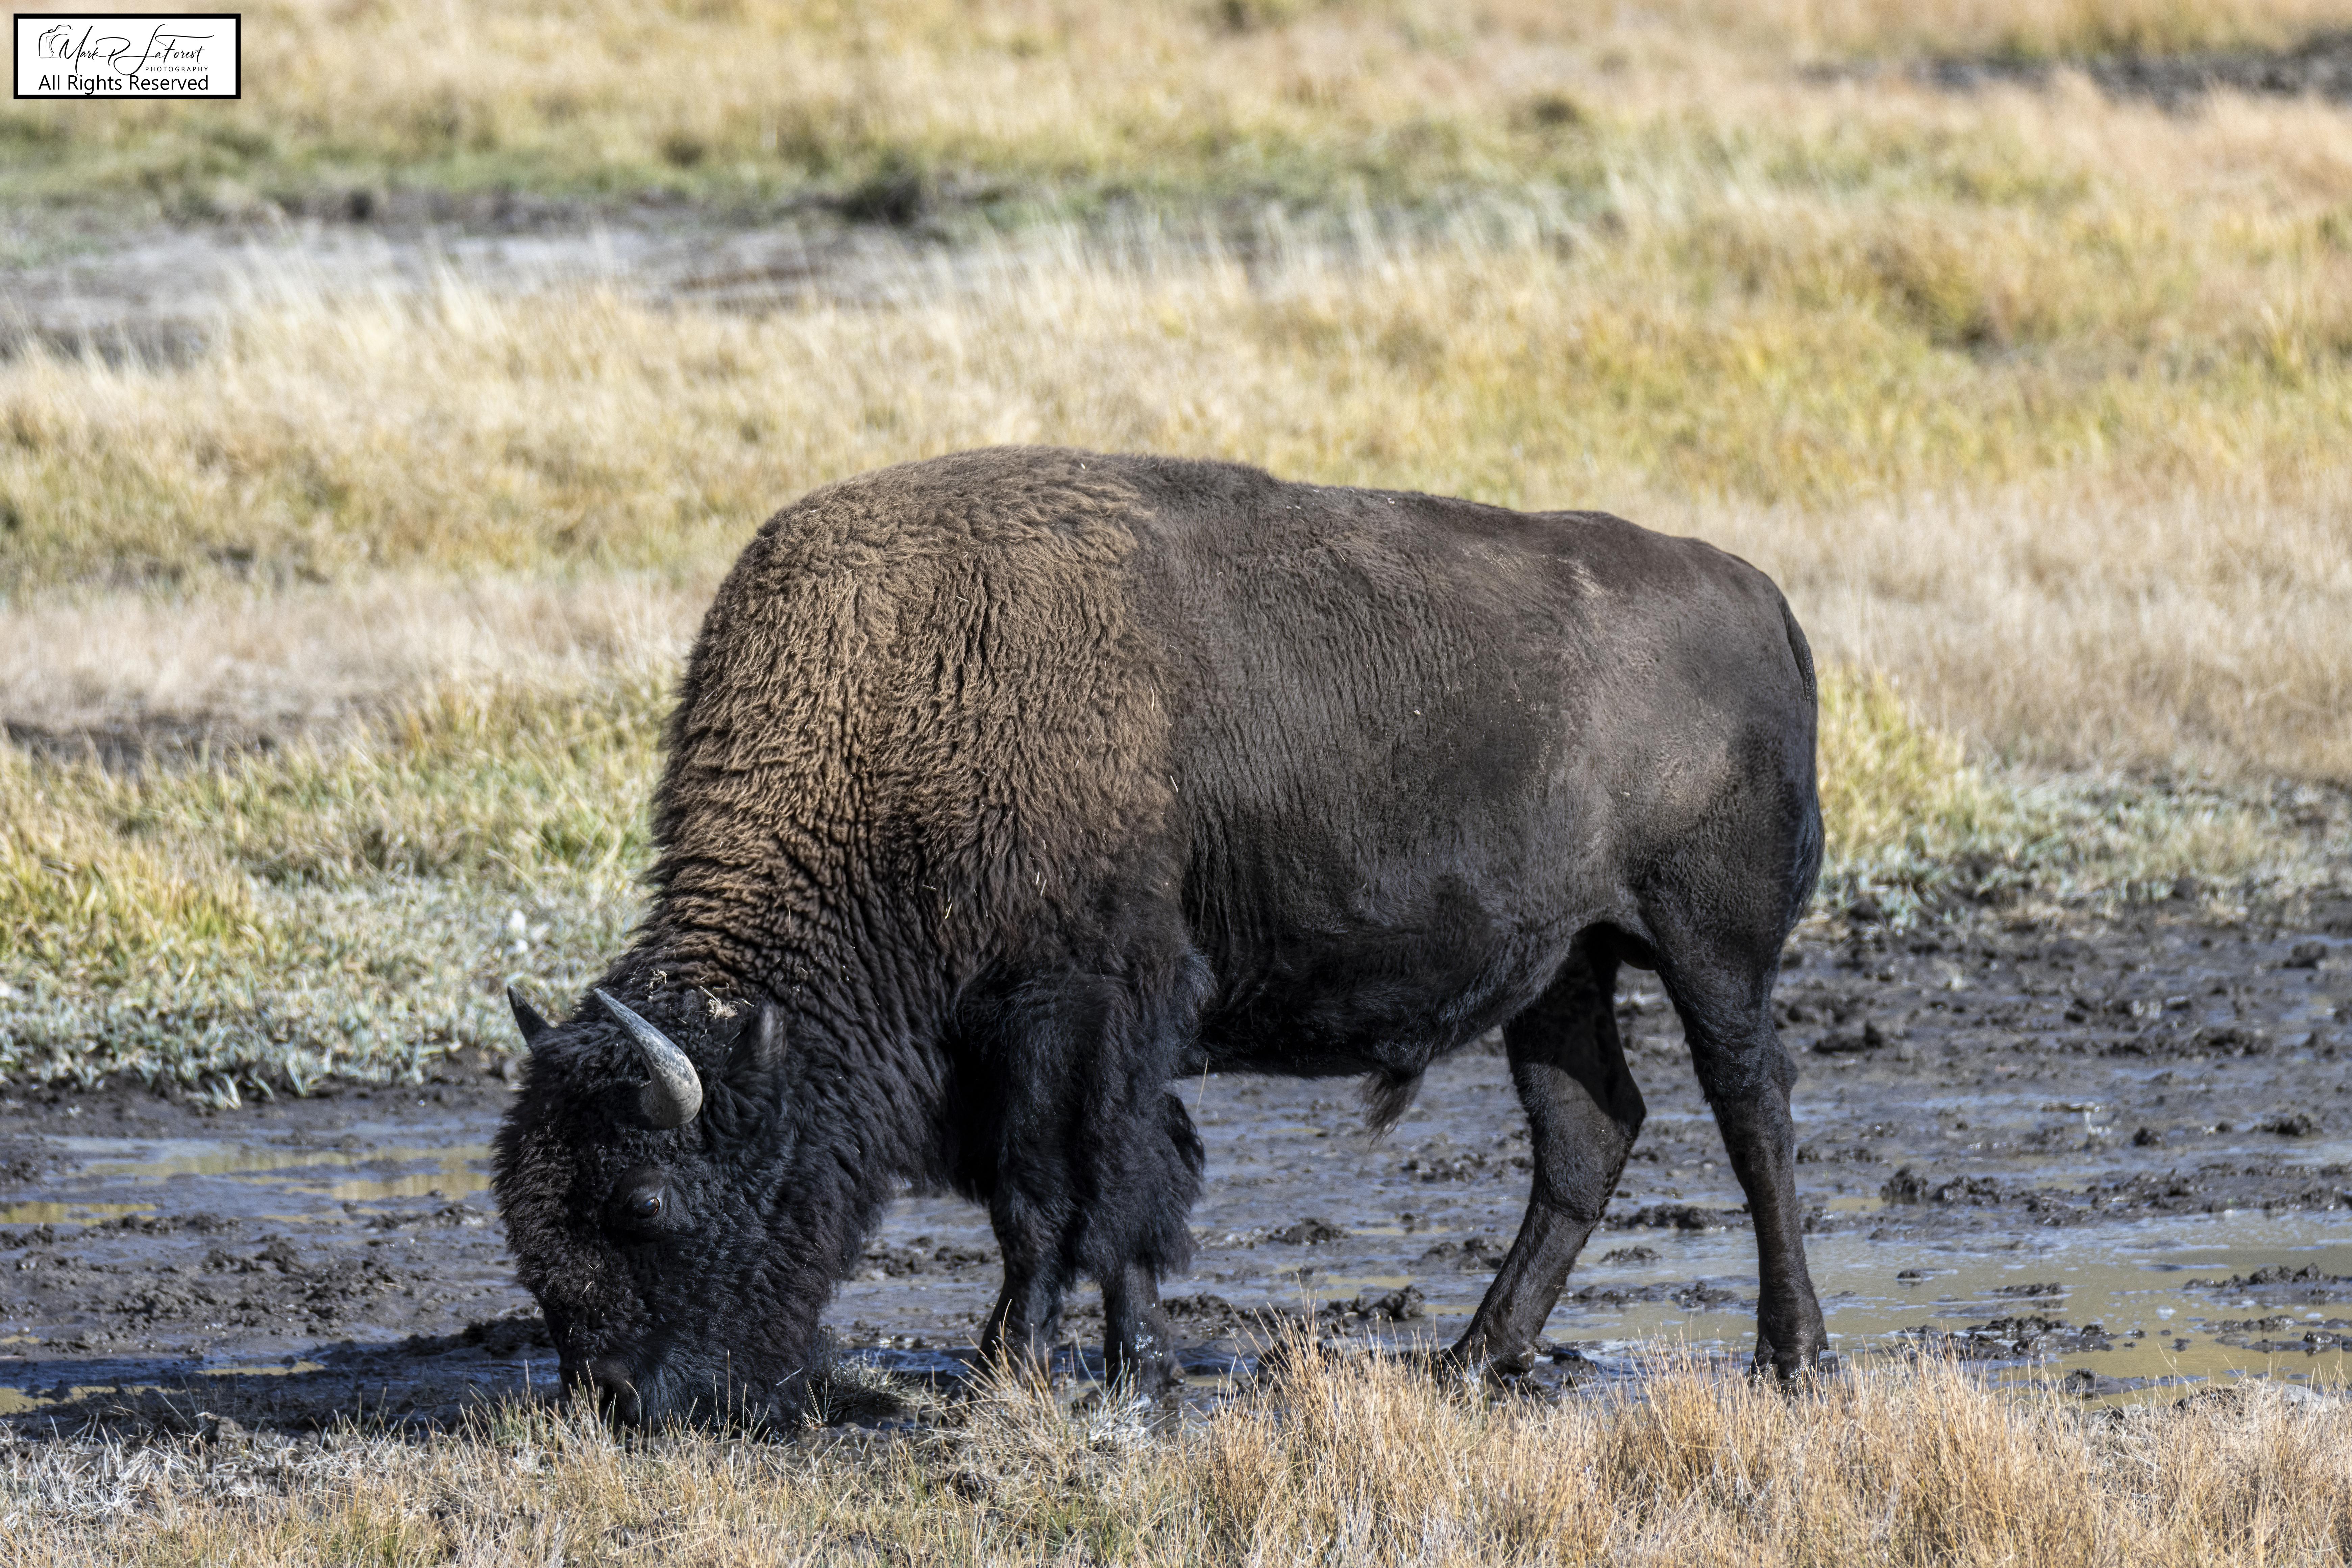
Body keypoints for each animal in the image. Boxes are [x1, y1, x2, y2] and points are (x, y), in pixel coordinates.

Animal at [492, 446, 1829, 1426]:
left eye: (646, 1199)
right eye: (519, 1211)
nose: (612, 1401)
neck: (901, 719)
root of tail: (1761, 597)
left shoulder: (1071, 1016)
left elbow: (1060, 1201)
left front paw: (1018, 1372)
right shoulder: (1041, 1050)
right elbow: (1111, 1202)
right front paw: (1120, 1364)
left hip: (1710, 944)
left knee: (1750, 1107)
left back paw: (1791, 1356)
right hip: (1561, 968)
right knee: (1585, 1132)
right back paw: (1468, 1359)